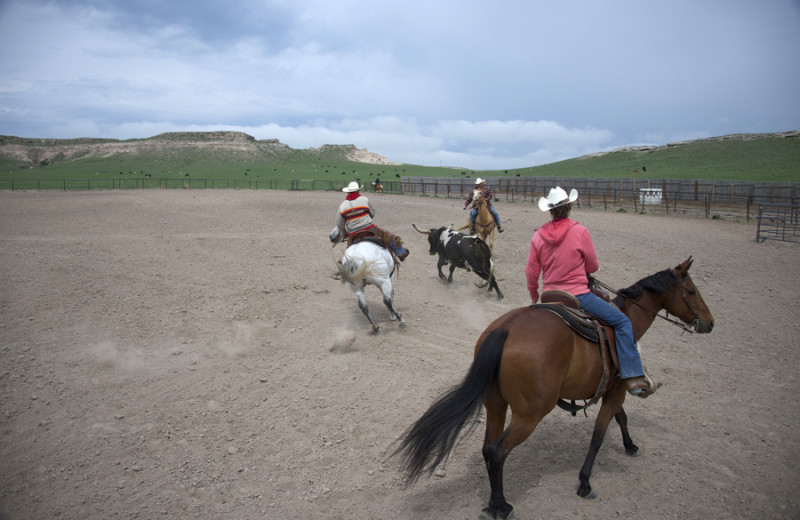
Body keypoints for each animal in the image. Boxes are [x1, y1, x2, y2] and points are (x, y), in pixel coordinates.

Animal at [394, 258, 712, 516]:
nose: (709, 323)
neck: (628, 320)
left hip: (495, 405)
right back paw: (501, 507)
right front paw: (585, 483)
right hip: (530, 414)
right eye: (692, 291)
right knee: (497, 451)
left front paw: (630, 446)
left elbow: (620, 418)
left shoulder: (612, 391)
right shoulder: (618, 390)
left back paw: (494, 501)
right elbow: (599, 435)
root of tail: (505, 329)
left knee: (488, 449)